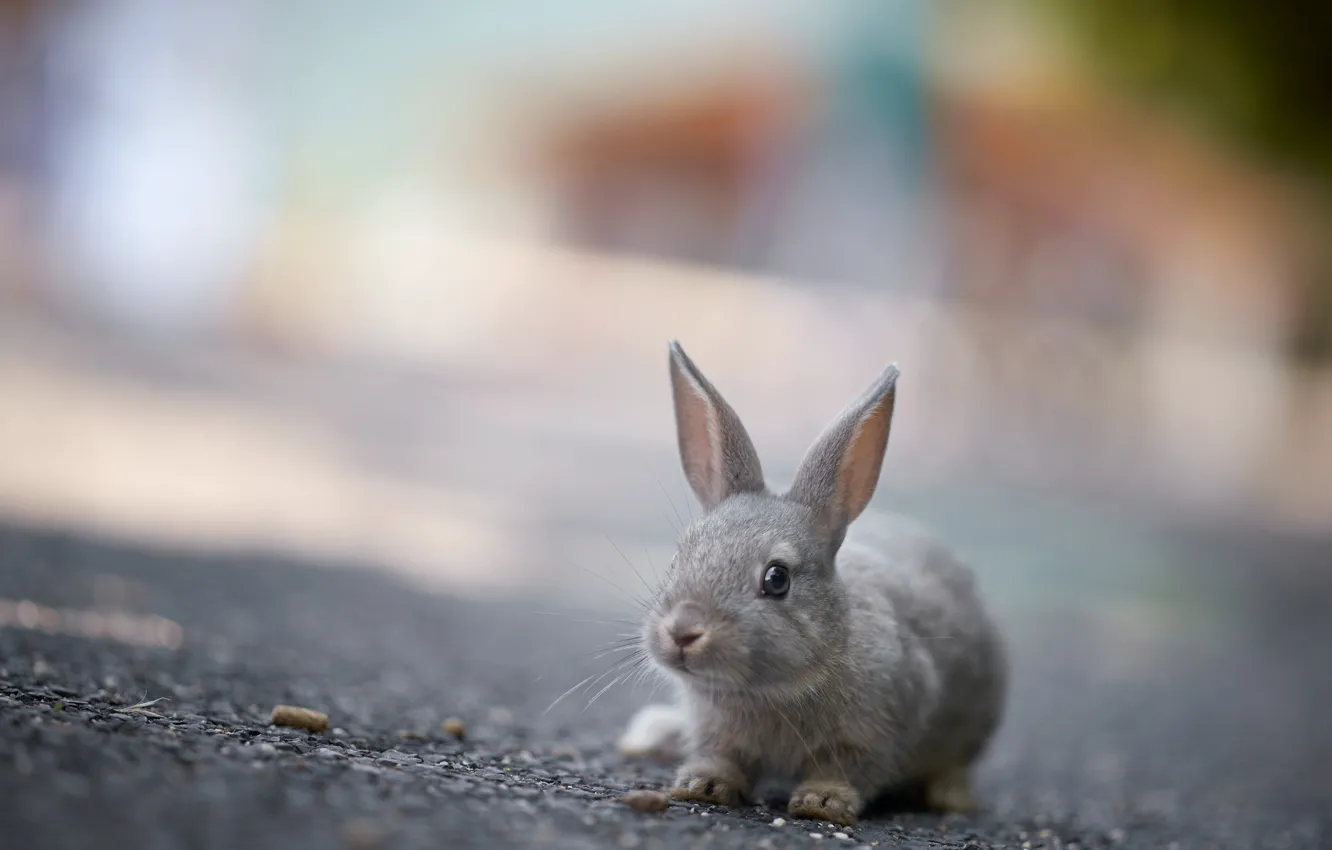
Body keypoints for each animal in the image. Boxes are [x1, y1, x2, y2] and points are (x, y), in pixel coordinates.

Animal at [617, 341, 1008, 826]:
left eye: (776, 578)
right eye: (678, 556)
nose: (683, 631)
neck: (770, 689)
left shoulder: (878, 727)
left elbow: (847, 769)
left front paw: (822, 803)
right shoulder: (715, 730)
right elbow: (721, 757)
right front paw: (702, 785)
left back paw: (951, 796)